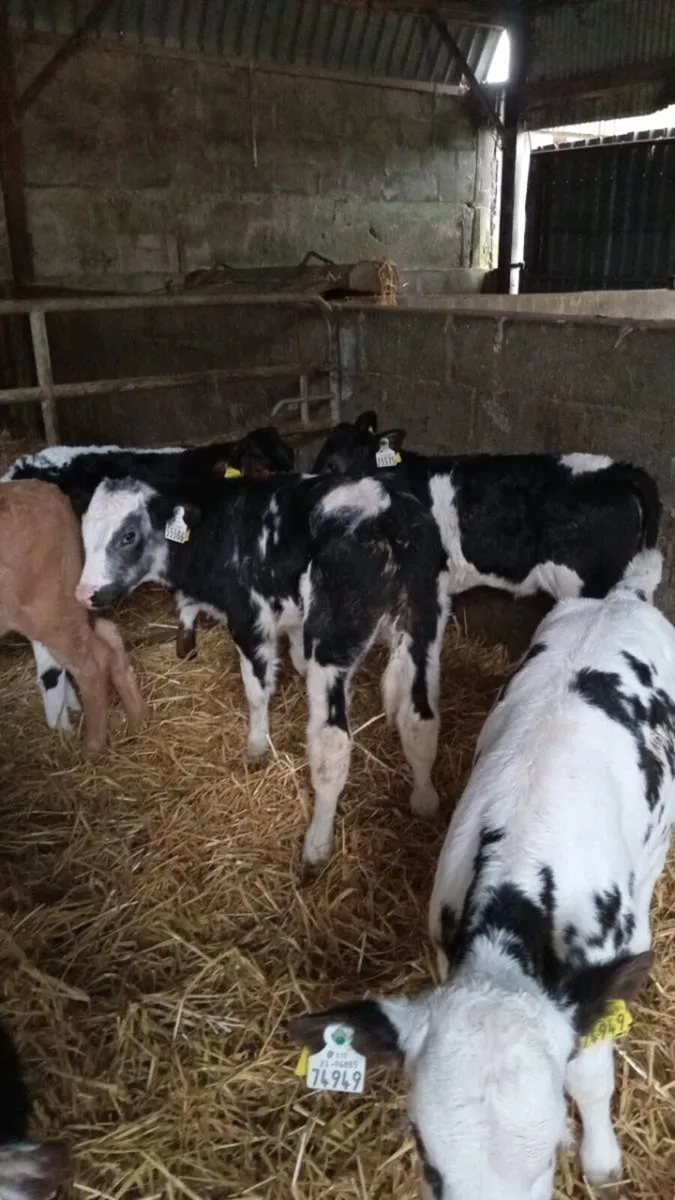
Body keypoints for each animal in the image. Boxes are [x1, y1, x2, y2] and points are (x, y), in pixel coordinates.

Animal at [0, 481, 145, 756]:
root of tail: (47, 491)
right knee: (108, 633)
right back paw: (138, 720)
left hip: (51, 612)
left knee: (92, 663)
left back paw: (93, 746)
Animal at [75, 471, 450, 865]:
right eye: (84, 529)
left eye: (128, 536)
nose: (84, 594)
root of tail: (386, 507)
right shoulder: (293, 617)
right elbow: (295, 655)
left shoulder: (249, 619)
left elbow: (256, 691)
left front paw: (256, 745)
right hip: (426, 623)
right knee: (421, 720)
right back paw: (424, 798)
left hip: (333, 640)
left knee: (332, 743)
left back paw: (317, 844)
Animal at [289, 549, 674, 1197]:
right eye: (426, 1157)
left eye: (551, 1151)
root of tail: (621, 595)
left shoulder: (606, 965)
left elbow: (590, 1076)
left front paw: (601, 1161)